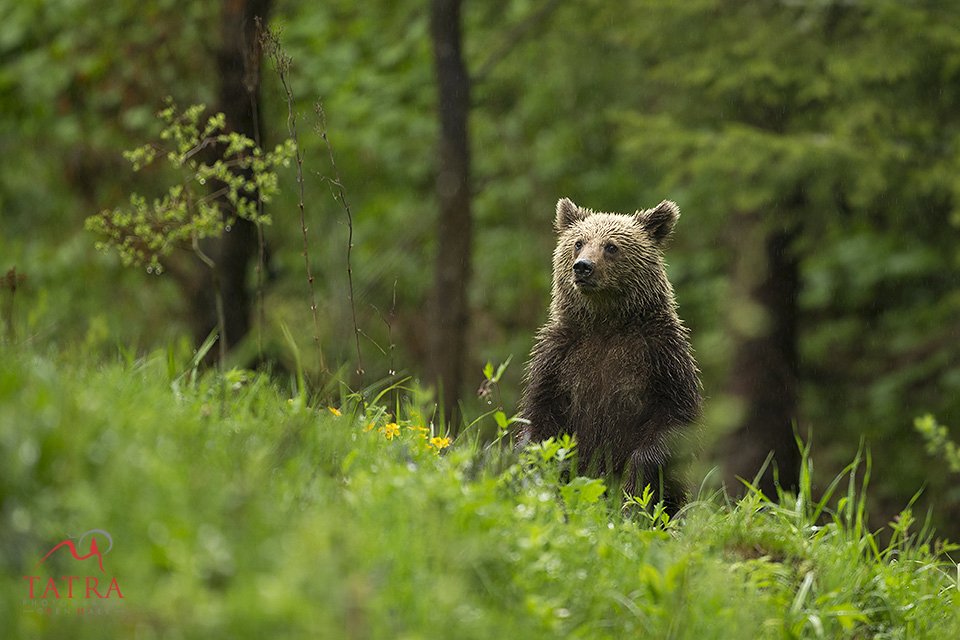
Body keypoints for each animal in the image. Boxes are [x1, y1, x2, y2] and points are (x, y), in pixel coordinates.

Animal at [517, 197, 701, 509]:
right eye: (578, 242)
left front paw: (632, 490)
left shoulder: (662, 356)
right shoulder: (558, 357)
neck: (607, 323)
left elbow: (672, 421)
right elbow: (540, 418)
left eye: (611, 246)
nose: (583, 267)